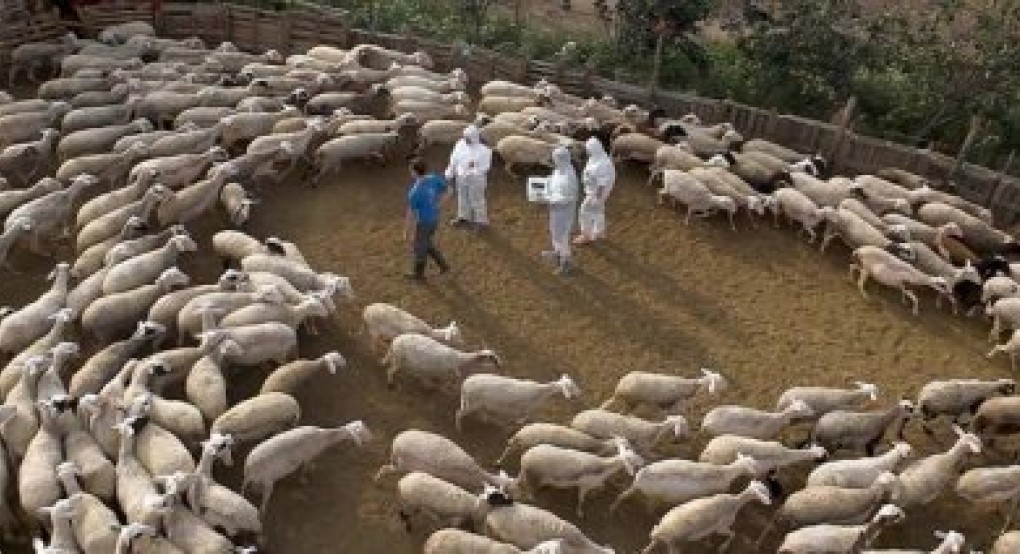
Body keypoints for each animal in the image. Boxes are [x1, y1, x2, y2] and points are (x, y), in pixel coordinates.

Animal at [242, 422, 371, 514]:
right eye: (361, 431)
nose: (372, 438)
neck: (324, 437)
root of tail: (249, 467)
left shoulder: (307, 457)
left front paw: (311, 469)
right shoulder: (307, 457)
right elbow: (304, 469)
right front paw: (304, 479)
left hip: (259, 479)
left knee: (254, 488)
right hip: (268, 480)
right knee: (264, 500)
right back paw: (262, 510)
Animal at [599, 371, 730, 414]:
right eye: (719, 380)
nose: (728, 386)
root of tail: (618, 389)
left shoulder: (665, 405)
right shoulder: (675, 406)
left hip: (631, 402)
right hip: (632, 401)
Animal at [607, 452, 762, 514]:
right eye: (753, 465)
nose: (757, 475)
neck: (725, 472)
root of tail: (641, 476)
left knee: (624, 495)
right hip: (654, 495)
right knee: (648, 507)